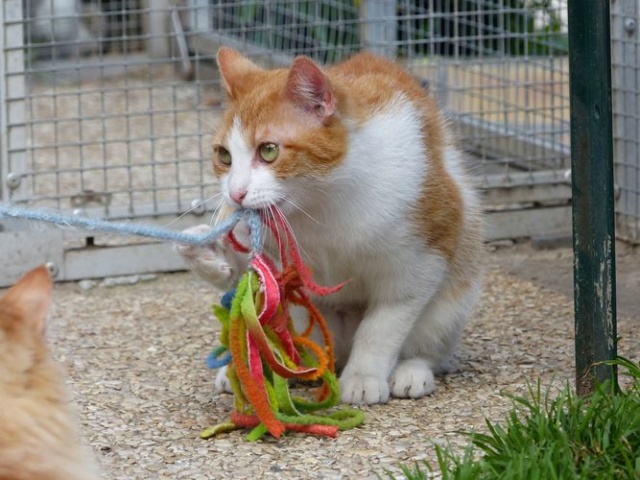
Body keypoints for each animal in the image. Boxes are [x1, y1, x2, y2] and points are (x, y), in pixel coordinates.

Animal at [178, 47, 482, 404]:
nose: (235, 194)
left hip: (454, 297)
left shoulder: (425, 253)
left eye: (269, 150)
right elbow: (245, 272)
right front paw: (202, 251)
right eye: (224, 156)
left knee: (431, 341)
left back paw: (412, 370)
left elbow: (384, 324)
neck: (320, 204)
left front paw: (364, 376)